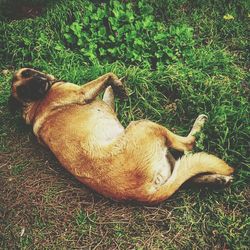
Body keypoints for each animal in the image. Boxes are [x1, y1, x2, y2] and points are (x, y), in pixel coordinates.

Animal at [8, 68, 233, 203]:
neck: (35, 104)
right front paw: (118, 84)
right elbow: (108, 74)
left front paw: (117, 88)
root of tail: (145, 194)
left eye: (27, 73)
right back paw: (198, 126)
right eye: (25, 90)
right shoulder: (81, 92)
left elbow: (108, 91)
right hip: (143, 125)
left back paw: (216, 180)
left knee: (184, 172)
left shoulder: (105, 104)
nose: (40, 83)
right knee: (189, 146)